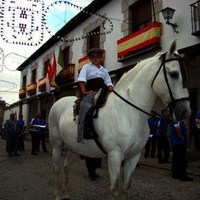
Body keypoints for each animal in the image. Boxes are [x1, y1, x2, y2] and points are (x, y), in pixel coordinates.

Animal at [48, 40, 191, 200]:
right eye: (174, 74)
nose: (185, 111)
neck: (127, 112)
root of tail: (58, 103)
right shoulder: (115, 156)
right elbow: (115, 190)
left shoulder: (133, 157)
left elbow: (126, 187)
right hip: (57, 144)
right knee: (56, 168)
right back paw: (58, 194)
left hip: (76, 146)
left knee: (66, 166)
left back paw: (66, 193)